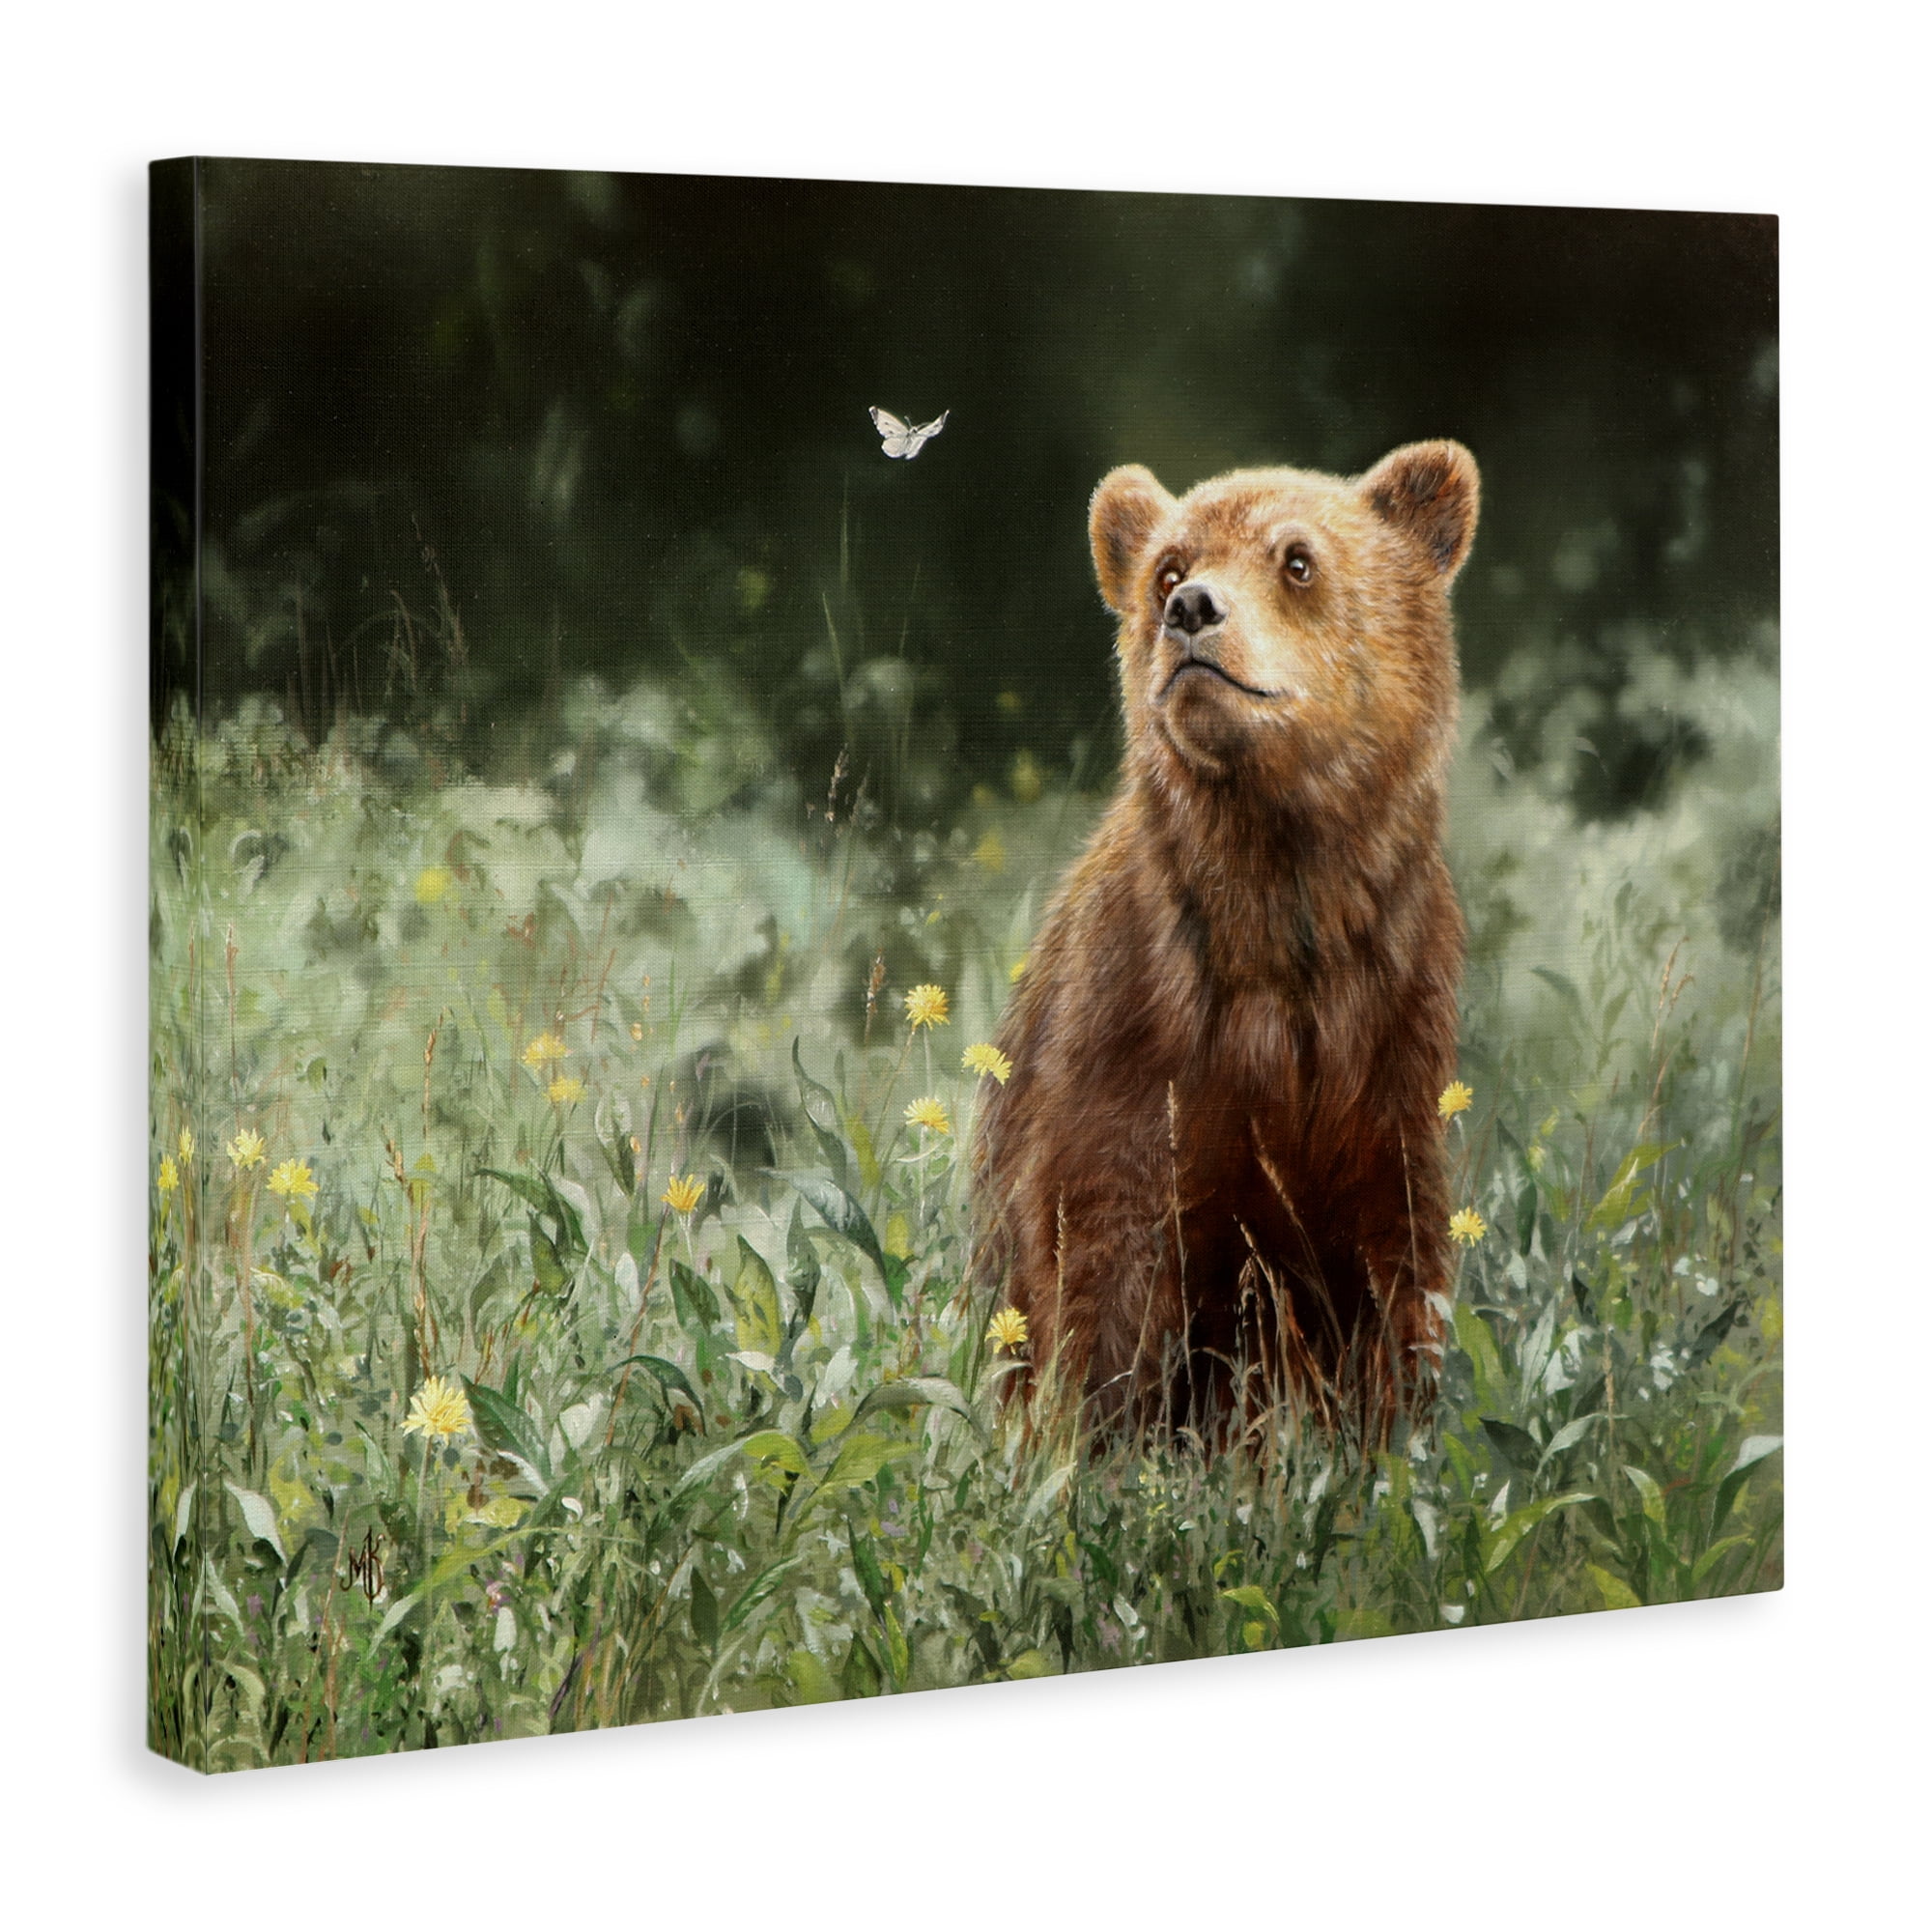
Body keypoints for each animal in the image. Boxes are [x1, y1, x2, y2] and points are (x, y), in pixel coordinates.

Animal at [973, 441, 1477, 1442]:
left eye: (1297, 559)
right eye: (1167, 566)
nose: (1191, 609)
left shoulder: (1388, 1032)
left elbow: (1390, 1258)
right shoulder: (1133, 1034)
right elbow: (1101, 1255)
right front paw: (1100, 1436)